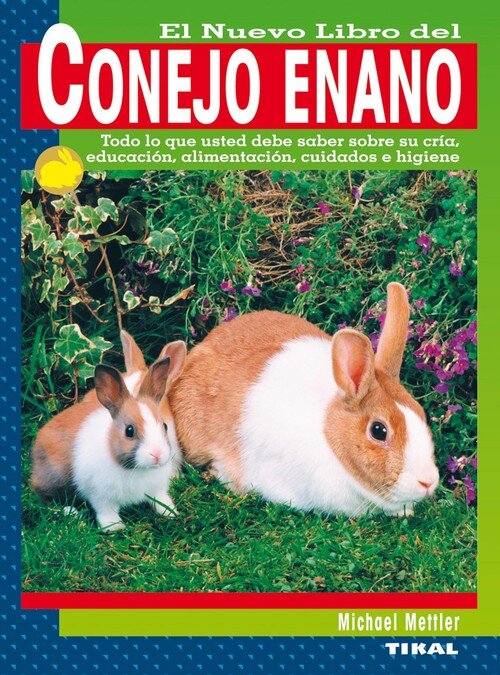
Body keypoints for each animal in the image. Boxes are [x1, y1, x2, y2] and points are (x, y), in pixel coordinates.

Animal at [31, 347, 186, 532]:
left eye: (165, 426)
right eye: (129, 431)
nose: (157, 455)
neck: (135, 469)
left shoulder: (157, 489)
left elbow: (161, 500)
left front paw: (171, 513)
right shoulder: (100, 496)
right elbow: (106, 511)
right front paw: (115, 527)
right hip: (54, 478)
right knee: (44, 497)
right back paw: (71, 512)